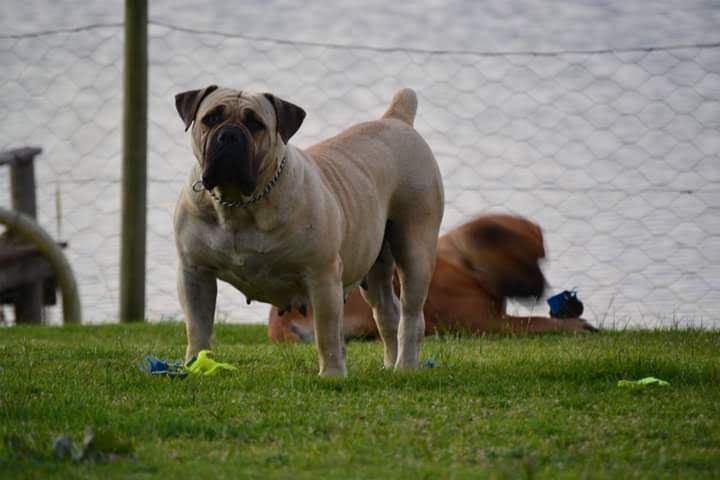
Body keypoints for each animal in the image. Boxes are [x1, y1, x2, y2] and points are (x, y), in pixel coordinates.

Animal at [174, 88, 444, 376]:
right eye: (211, 118)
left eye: (256, 124)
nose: (230, 135)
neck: (239, 205)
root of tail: (396, 119)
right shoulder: (194, 273)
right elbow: (198, 327)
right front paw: (195, 365)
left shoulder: (321, 274)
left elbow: (326, 332)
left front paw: (332, 375)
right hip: (375, 269)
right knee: (386, 311)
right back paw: (390, 365)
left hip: (415, 249)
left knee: (411, 315)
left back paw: (406, 366)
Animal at [268, 214, 596, 342]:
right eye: (528, 260)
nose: (544, 289)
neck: (467, 266)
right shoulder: (489, 323)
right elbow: (534, 322)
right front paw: (573, 325)